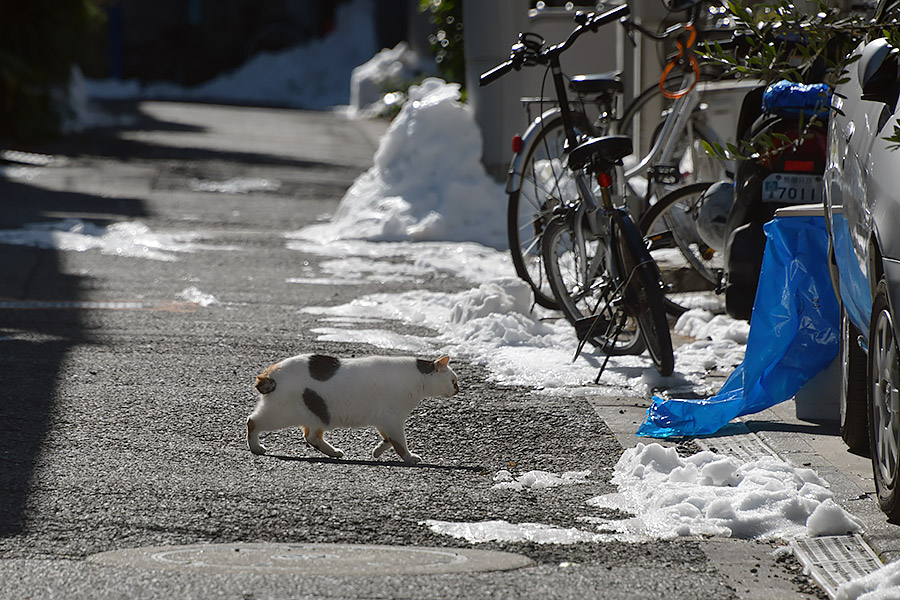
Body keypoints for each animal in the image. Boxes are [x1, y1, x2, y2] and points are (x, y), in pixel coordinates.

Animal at [246, 352, 458, 464]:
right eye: (453, 381)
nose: (459, 389)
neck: (417, 379)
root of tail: (270, 372)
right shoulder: (393, 419)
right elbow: (399, 443)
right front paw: (409, 457)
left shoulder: (385, 420)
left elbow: (388, 440)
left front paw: (377, 452)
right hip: (281, 413)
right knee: (252, 421)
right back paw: (256, 447)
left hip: (318, 414)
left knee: (311, 437)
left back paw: (334, 452)